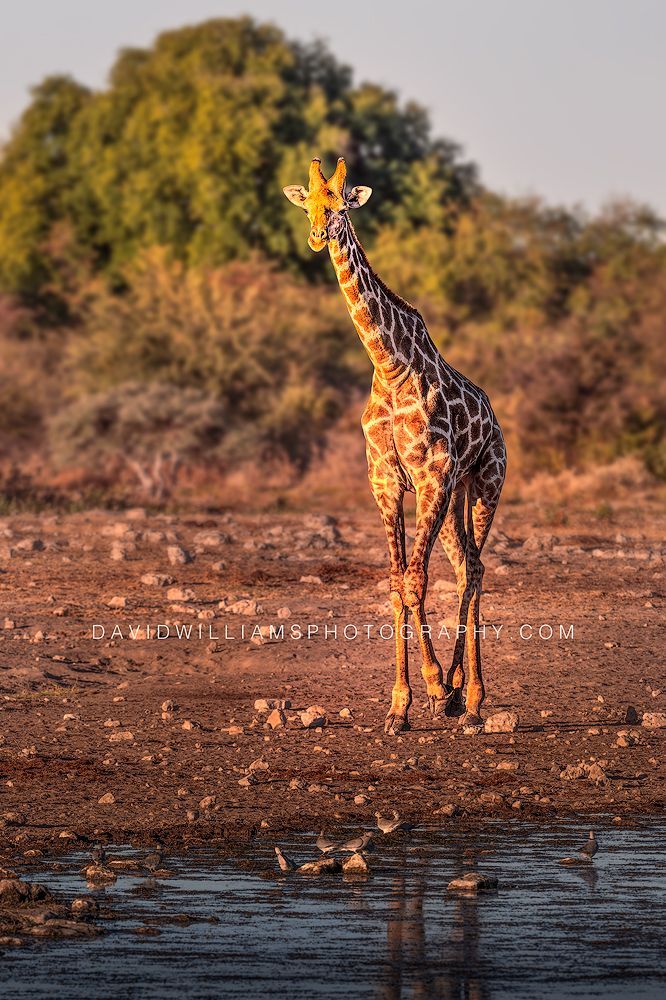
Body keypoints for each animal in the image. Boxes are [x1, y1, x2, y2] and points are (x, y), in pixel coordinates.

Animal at [283, 158, 507, 734]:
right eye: (309, 204)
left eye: (341, 206)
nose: (318, 235)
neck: (390, 365)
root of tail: (495, 420)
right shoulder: (386, 484)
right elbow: (394, 584)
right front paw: (402, 705)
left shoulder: (430, 477)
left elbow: (414, 582)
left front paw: (431, 688)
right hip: (455, 499)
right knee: (464, 565)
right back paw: (459, 693)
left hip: (485, 484)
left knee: (476, 570)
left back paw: (472, 698)